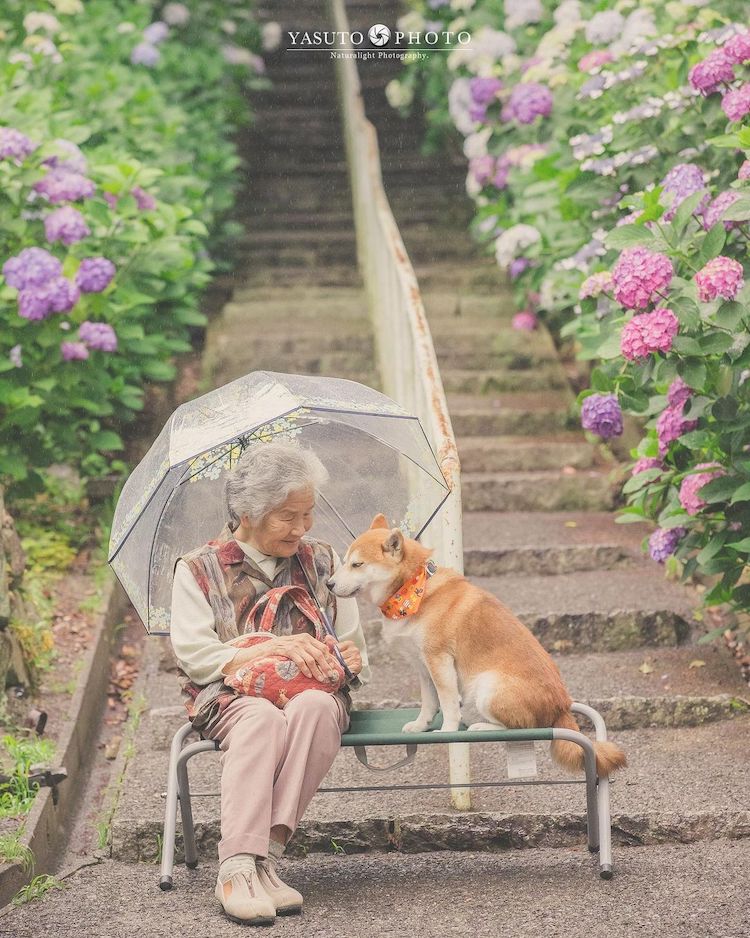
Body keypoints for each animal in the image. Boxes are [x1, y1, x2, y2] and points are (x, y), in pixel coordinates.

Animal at [328, 512, 628, 776]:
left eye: (357, 565)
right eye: (344, 562)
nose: (329, 584)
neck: (412, 591)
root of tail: (562, 707)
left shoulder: (439, 660)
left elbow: (447, 703)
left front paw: (447, 732)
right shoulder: (423, 666)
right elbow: (429, 703)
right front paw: (421, 726)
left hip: (487, 687)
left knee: (520, 728)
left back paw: (481, 728)